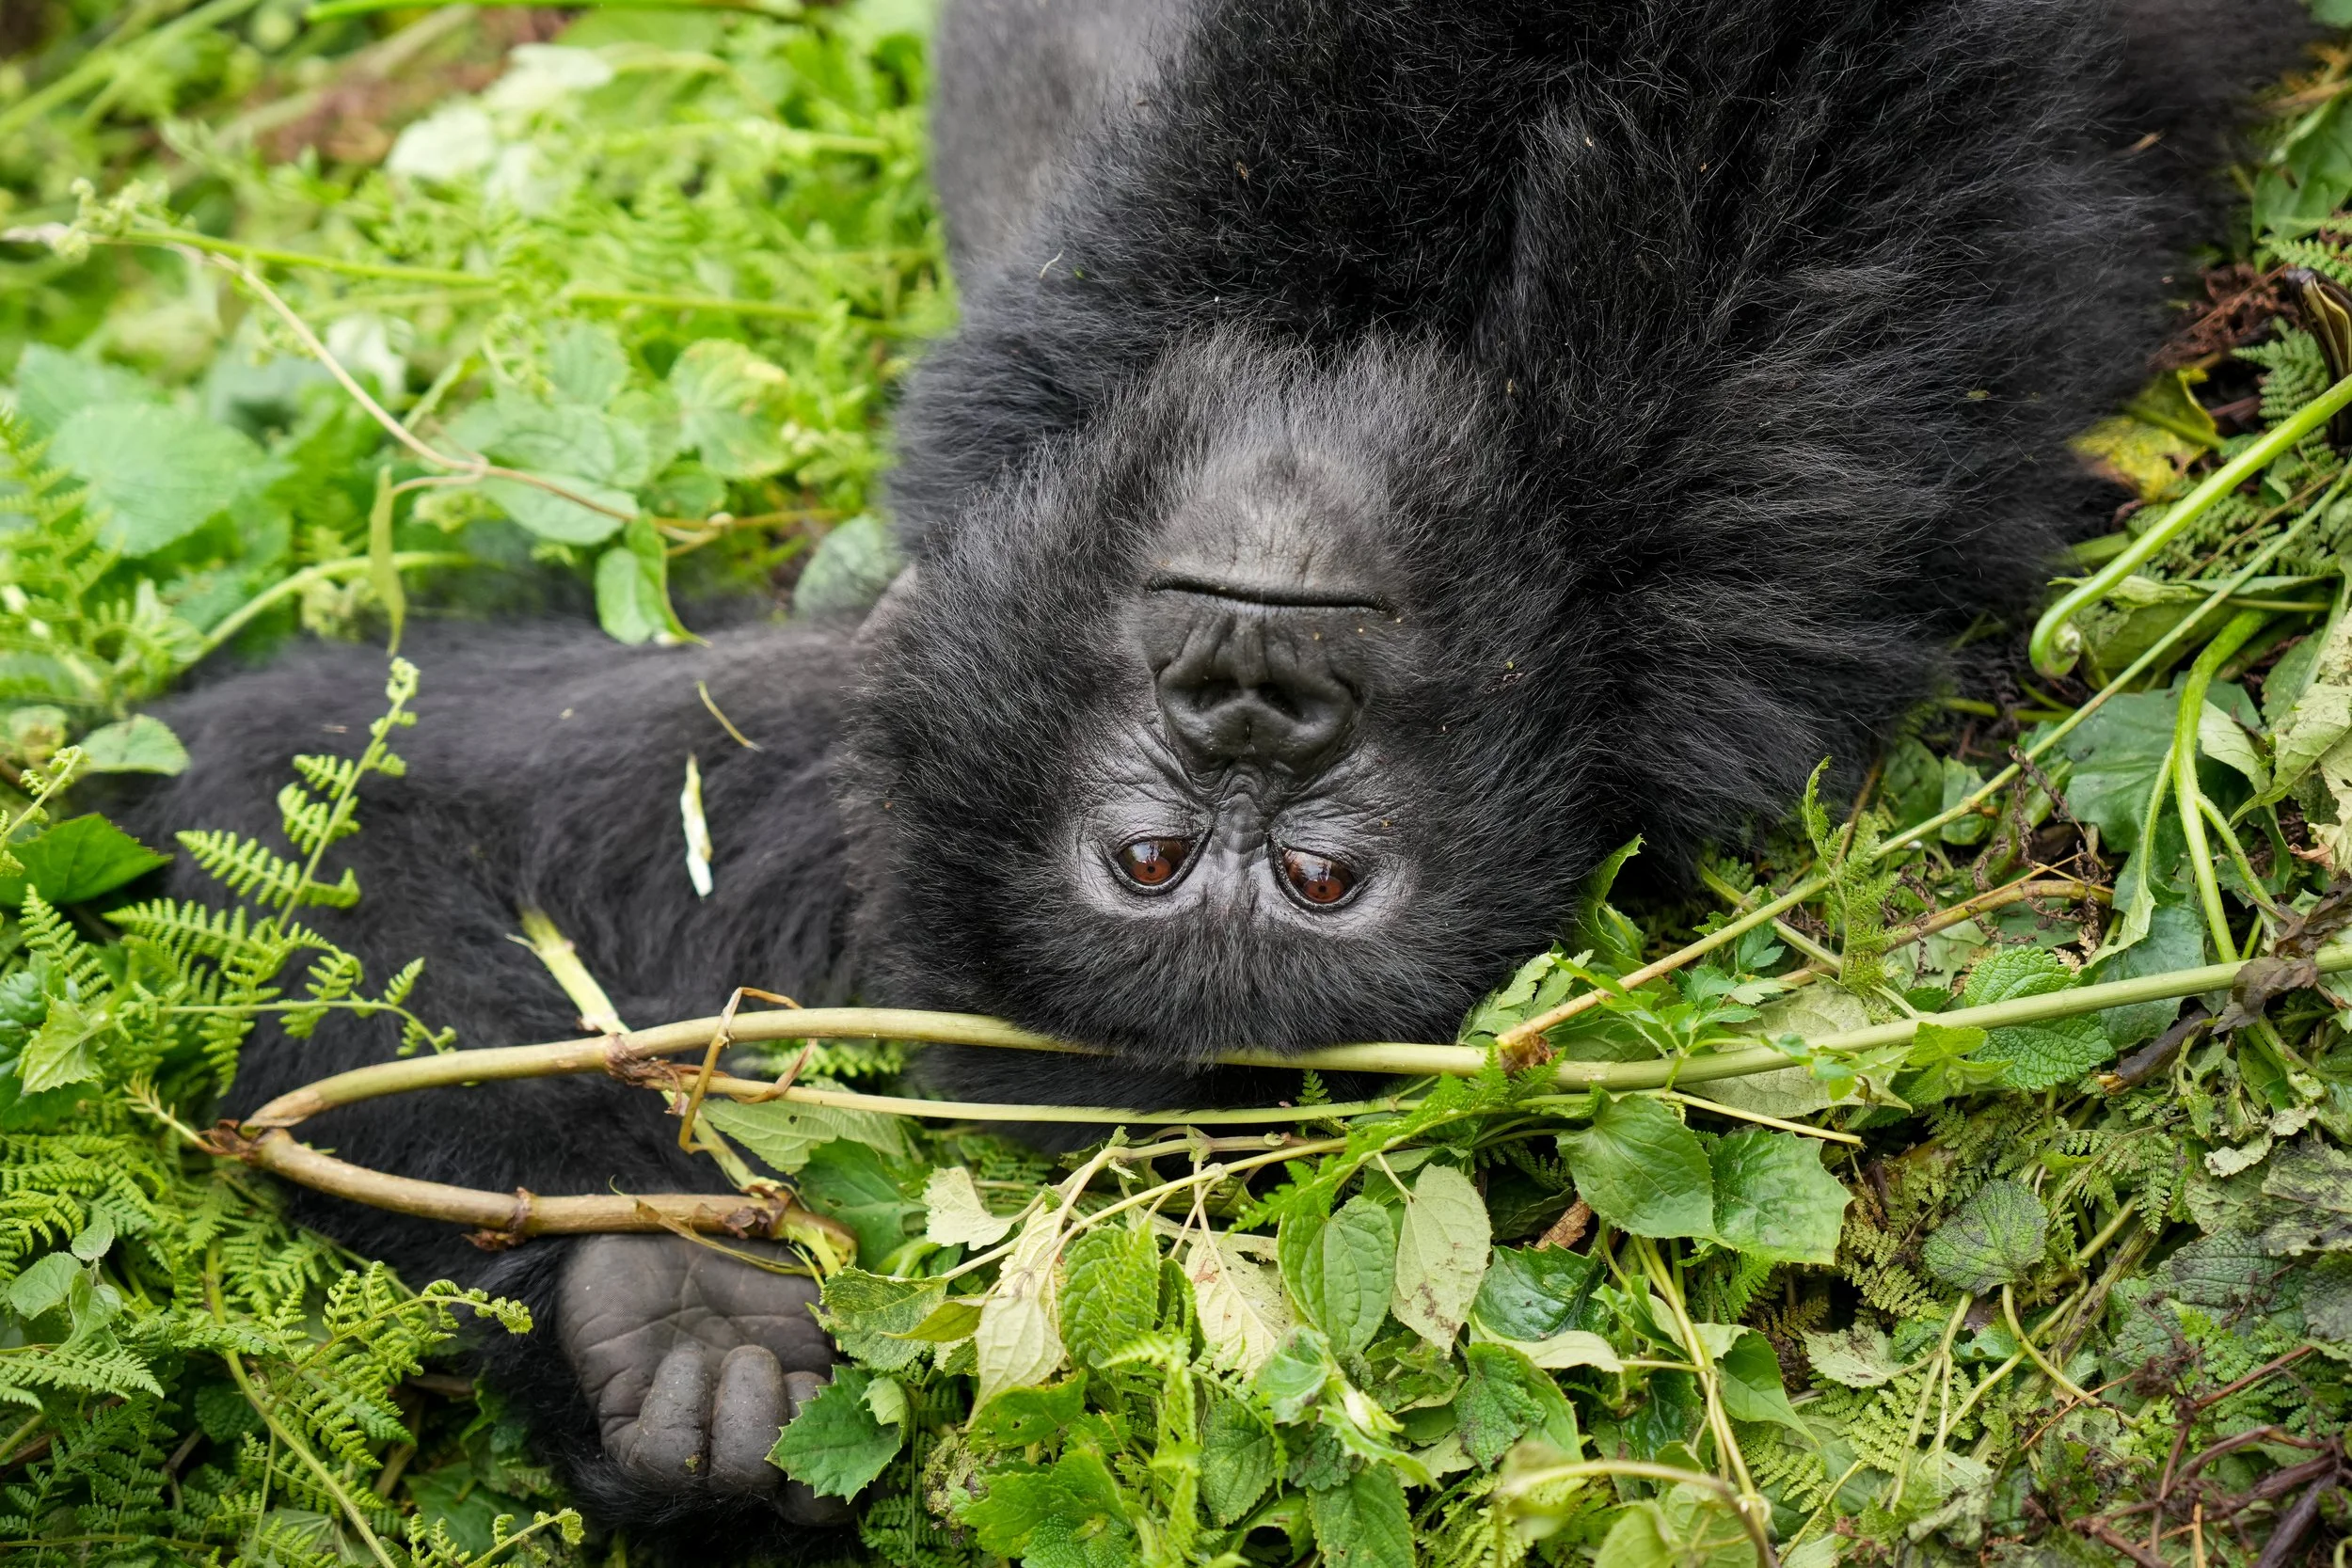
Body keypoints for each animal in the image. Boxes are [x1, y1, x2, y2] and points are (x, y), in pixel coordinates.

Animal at [124, 0, 2319, 1555]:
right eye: (1160, 861)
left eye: (1318, 878)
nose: (1254, 683)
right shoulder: (838, 764)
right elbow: (284, 808)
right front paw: (663, 1297)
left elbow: (272, 801)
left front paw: (665, 1303)